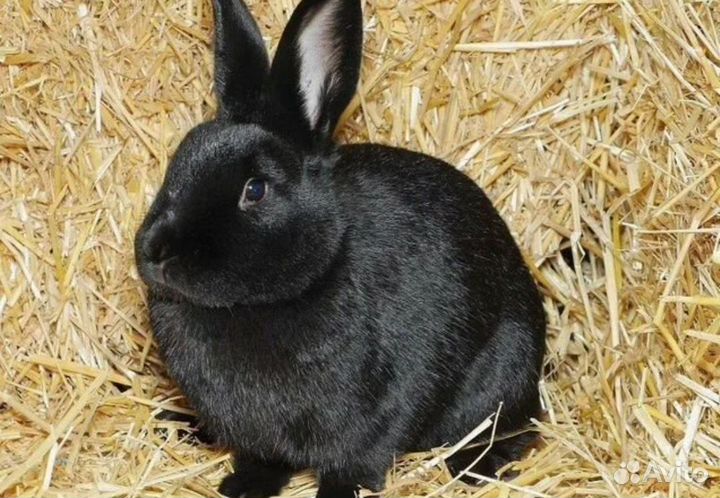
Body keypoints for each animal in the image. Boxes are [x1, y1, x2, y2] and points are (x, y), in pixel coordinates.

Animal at [134, 0, 547, 497]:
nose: (156, 253)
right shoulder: (261, 441)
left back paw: (474, 467)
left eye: (255, 190)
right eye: (176, 163)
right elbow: (264, 462)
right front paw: (241, 487)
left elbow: (353, 466)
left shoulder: (376, 420)